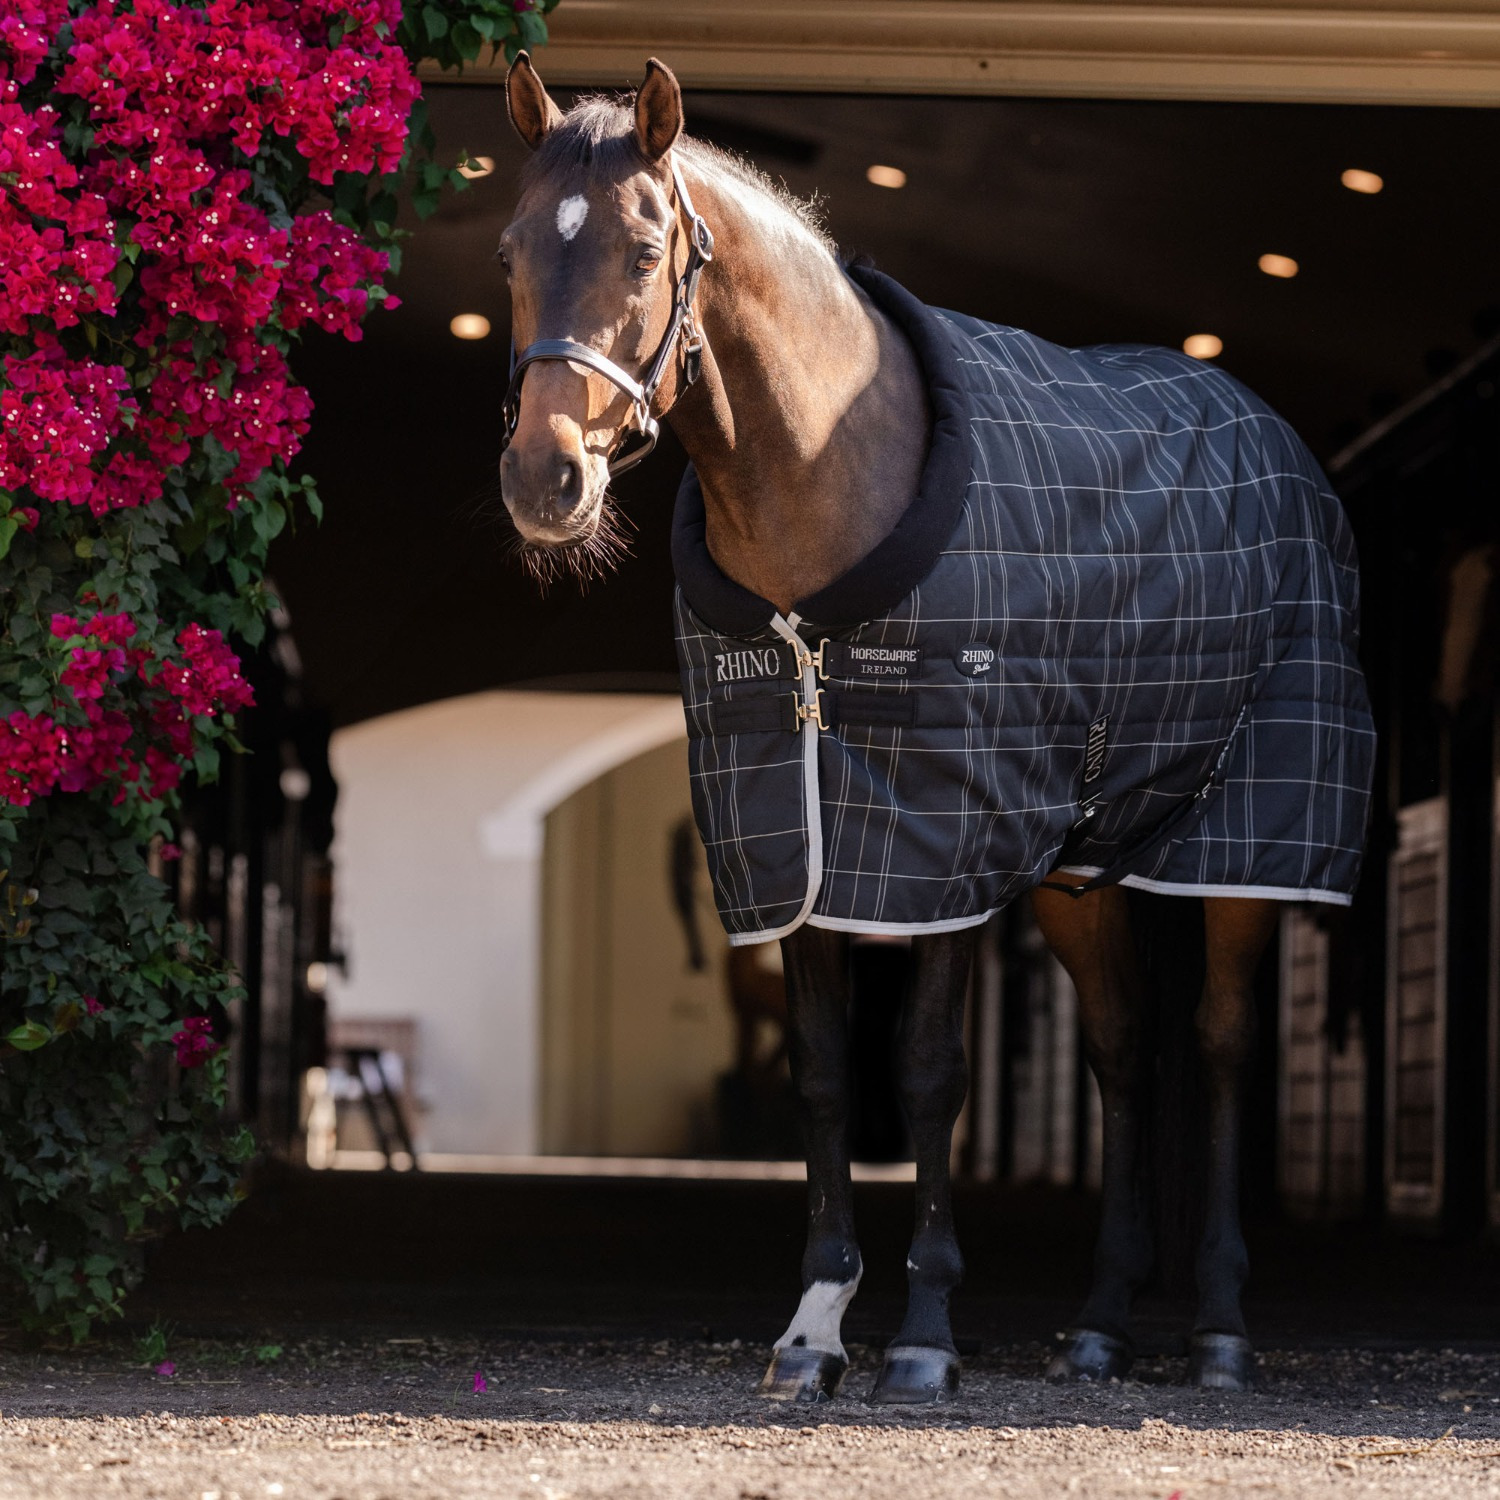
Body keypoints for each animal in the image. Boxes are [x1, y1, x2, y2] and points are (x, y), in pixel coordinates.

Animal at [494, 55, 1375, 1403]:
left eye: (644, 252)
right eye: (510, 251)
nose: (546, 482)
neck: (829, 483)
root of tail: (1272, 433)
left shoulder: (944, 848)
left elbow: (924, 1073)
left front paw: (922, 1334)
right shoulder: (794, 845)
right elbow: (819, 1071)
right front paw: (813, 1327)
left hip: (1247, 846)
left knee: (1221, 1045)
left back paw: (1222, 1328)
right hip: (1080, 868)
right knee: (1124, 1051)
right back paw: (1101, 1326)